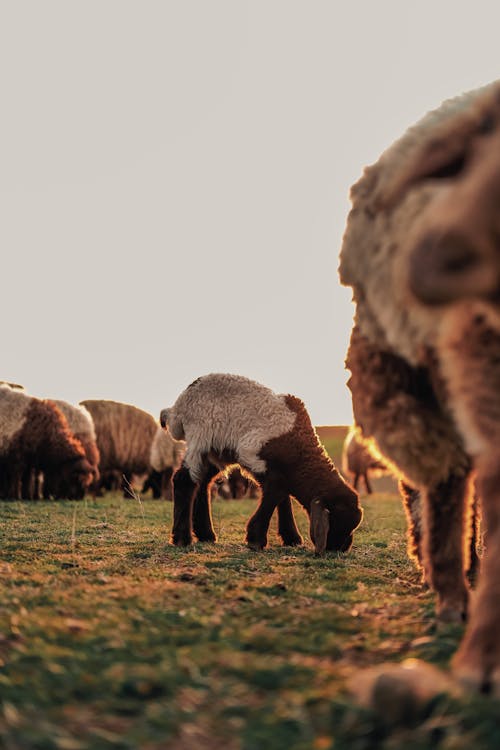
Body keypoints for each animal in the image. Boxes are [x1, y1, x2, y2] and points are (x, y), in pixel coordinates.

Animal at [158, 374, 362, 556]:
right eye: (338, 520)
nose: (341, 548)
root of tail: (178, 407)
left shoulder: (279, 469)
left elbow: (282, 494)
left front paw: (291, 538)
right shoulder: (253, 455)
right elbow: (277, 491)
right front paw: (256, 539)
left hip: (214, 451)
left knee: (202, 483)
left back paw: (206, 534)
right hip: (201, 436)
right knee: (184, 480)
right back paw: (182, 538)